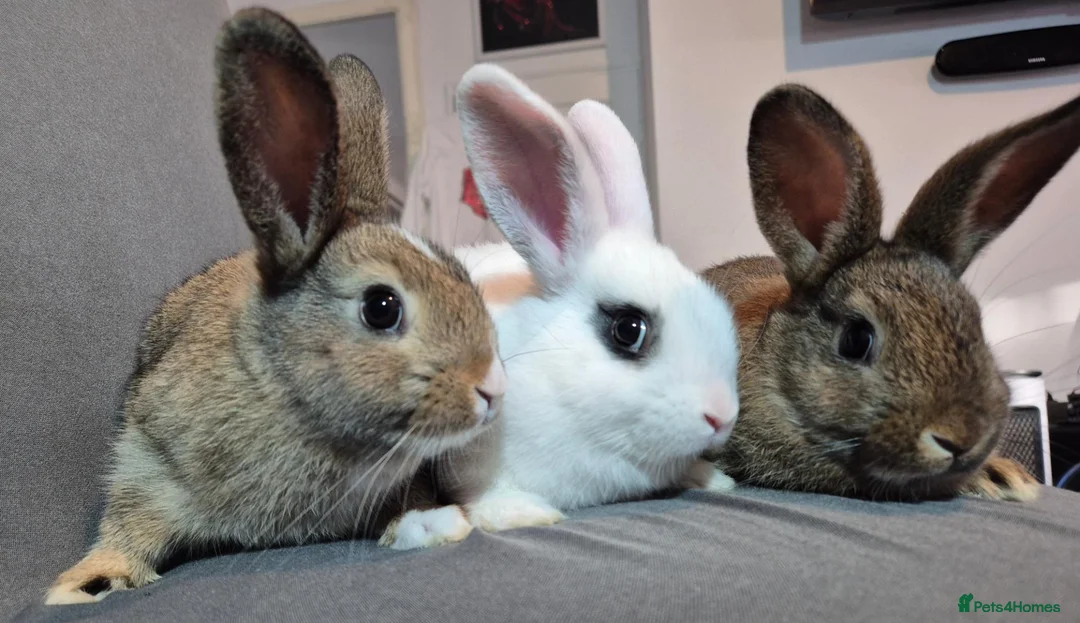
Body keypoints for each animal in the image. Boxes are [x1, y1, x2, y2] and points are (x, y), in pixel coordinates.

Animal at [46, 8, 511, 605]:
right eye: (381, 307)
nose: (492, 386)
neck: (286, 396)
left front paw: (432, 524)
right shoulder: (147, 460)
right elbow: (129, 522)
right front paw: (87, 584)